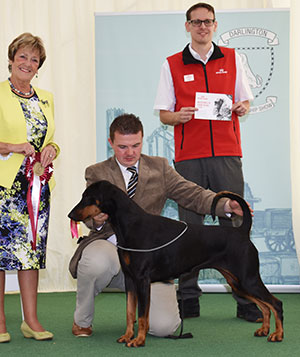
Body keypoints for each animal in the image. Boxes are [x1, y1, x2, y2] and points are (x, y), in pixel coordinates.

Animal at [68, 179, 284, 346]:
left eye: (87, 197)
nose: (70, 215)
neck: (130, 225)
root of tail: (242, 231)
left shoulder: (142, 280)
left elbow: (142, 315)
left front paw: (138, 340)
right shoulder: (130, 280)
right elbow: (130, 312)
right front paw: (127, 336)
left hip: (248, 278)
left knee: (276, 303)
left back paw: (278, 335)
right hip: (237, 283)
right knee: (265, 306)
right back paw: (264, 330)